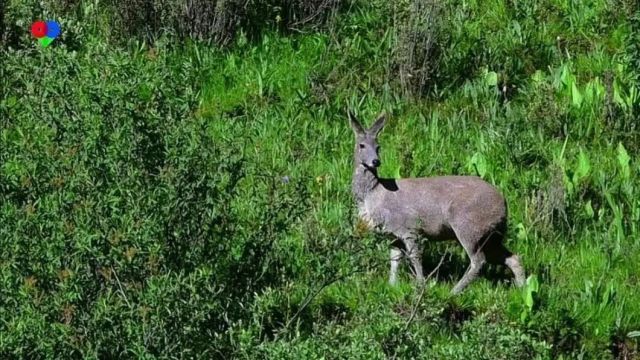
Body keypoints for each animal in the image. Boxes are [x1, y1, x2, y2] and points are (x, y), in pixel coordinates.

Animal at [350, 111, 524, 294]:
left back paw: (454, 292)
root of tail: (504, 203)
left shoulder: (409, 226)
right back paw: (522, 288)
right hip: (493, 233)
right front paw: (392, 285)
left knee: (479, 261)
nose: (376, 161)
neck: (374, 194)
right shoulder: (392, 233)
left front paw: (420, 285)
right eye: (362, 145)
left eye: (378, 147)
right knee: (512, 257)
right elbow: (395, 259)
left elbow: (415, 256)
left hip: (468, 226)